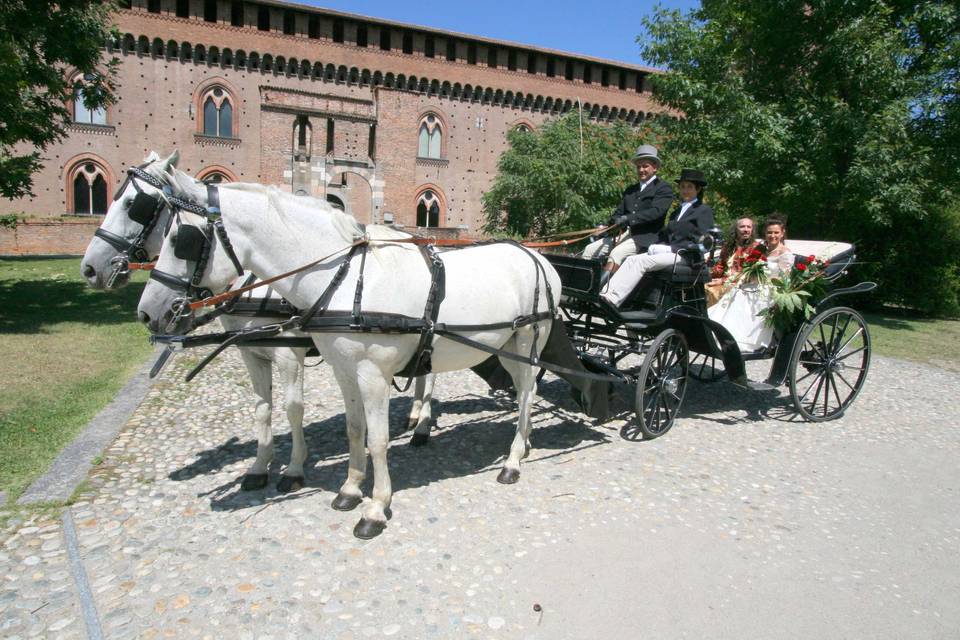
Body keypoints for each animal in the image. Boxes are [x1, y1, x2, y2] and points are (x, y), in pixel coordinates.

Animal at [82, 152, 436, 492]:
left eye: (134, 205)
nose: (90, 268)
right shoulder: (250, 351)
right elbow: (262, 408)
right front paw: (258, 467)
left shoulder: (288, 353)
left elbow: (293, 408)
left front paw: (294, 468)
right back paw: (416, 415)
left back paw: (422, 425)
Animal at [141, 169, 564, 536]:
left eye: (182, 240)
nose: (148, 311)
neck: (345, 279)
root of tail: (540, 259)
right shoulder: (342, 370)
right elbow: (354, 429)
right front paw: (349, 489)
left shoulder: (371, 374)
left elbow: (376, 439)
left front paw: (375, 507)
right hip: (506, 348)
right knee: (525, 392)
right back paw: (523, 444)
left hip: (528, 340)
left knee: (528, 394)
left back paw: (512, 460)